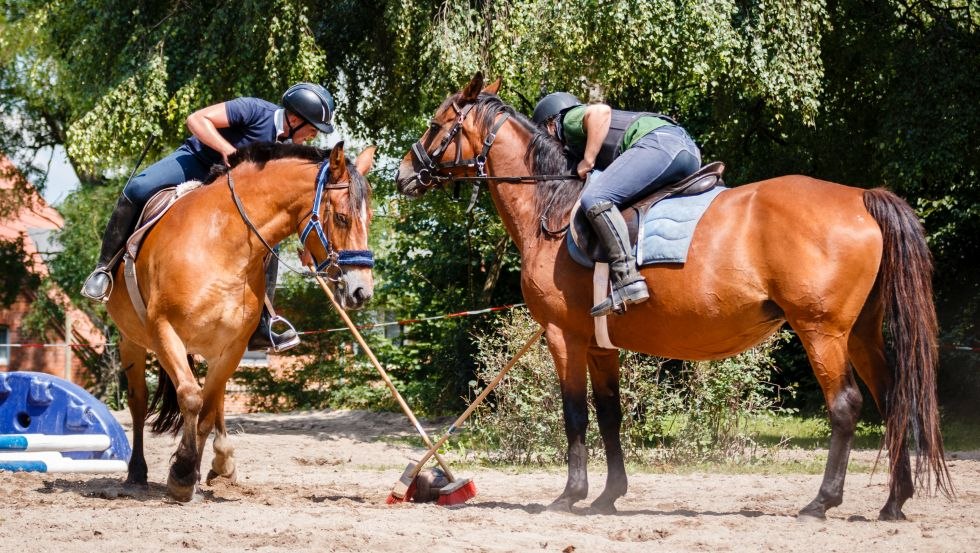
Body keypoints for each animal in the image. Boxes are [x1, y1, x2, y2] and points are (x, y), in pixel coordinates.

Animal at [107, 139, 376, 500]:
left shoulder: (232, 347)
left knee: (214, 401)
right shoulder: (164, 329)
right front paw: (181, 475)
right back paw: (137, 471)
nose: (362, 292)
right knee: (139, 402)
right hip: (132, 342)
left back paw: (220, 464)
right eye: (343, 218)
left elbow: (206, 411)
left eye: (369, 218)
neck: (222, 243)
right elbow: (190, 397)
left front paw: (190, 471)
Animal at [394, 72, 952, 516]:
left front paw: (571, 495)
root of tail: (861, 197)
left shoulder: (562, 335)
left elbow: (574, 415)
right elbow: (609, 415)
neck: (549, 205)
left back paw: (822, 502)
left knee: (846, 405)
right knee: (894, 401)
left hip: (822, 330)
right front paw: (608, 496)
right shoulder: (599, 344)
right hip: (861, 332)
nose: (402, 175)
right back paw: (893, 502)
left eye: (435, 125)